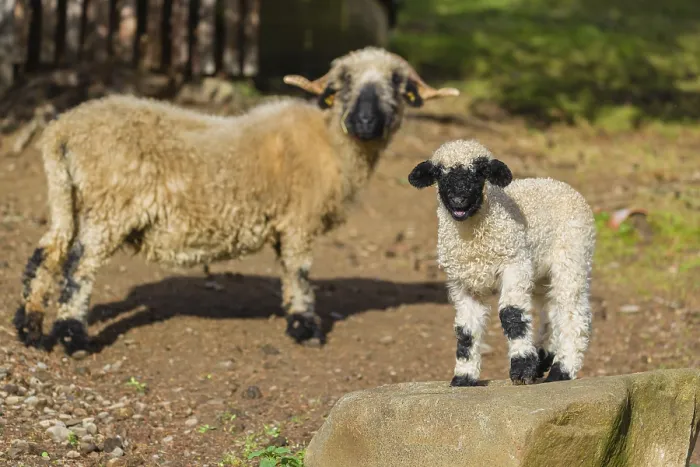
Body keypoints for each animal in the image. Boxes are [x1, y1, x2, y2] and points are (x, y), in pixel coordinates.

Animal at [14, 46, 460, 355]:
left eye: (398, 86)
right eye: (342, 84)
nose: (366, 122)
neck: (330, 142)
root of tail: (63, 129)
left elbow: (288, 271)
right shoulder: (298, 219)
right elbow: (299, 271)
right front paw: (305, 328)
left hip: (68, 195)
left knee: (47, 253)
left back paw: (29, 329)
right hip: (111, 204)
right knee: (79, 265)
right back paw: (73, 338)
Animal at [407, 139, 596, 386]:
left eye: (481, 172)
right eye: (439, 173)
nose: (459, 200)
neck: (474, 240)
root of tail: (559, 184)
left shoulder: (514, 264)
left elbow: (512, 315)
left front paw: (522, 369)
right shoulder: (463, 283)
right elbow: (465, 330)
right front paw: (464, 377)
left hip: (573, 256)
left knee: (574, 313)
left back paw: (561, 370)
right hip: (541, 272)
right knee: (551, 312)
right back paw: (543, 359)